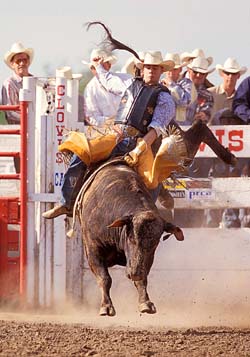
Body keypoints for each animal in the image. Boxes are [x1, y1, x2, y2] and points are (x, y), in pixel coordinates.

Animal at [77, 161, 183, 314]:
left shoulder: (146, 261)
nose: (135, 272)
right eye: (131, 238)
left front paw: (145, 303)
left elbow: (142, 279)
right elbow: (104, 278)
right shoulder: (92, 250)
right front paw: (106, 306)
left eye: (155, 244)